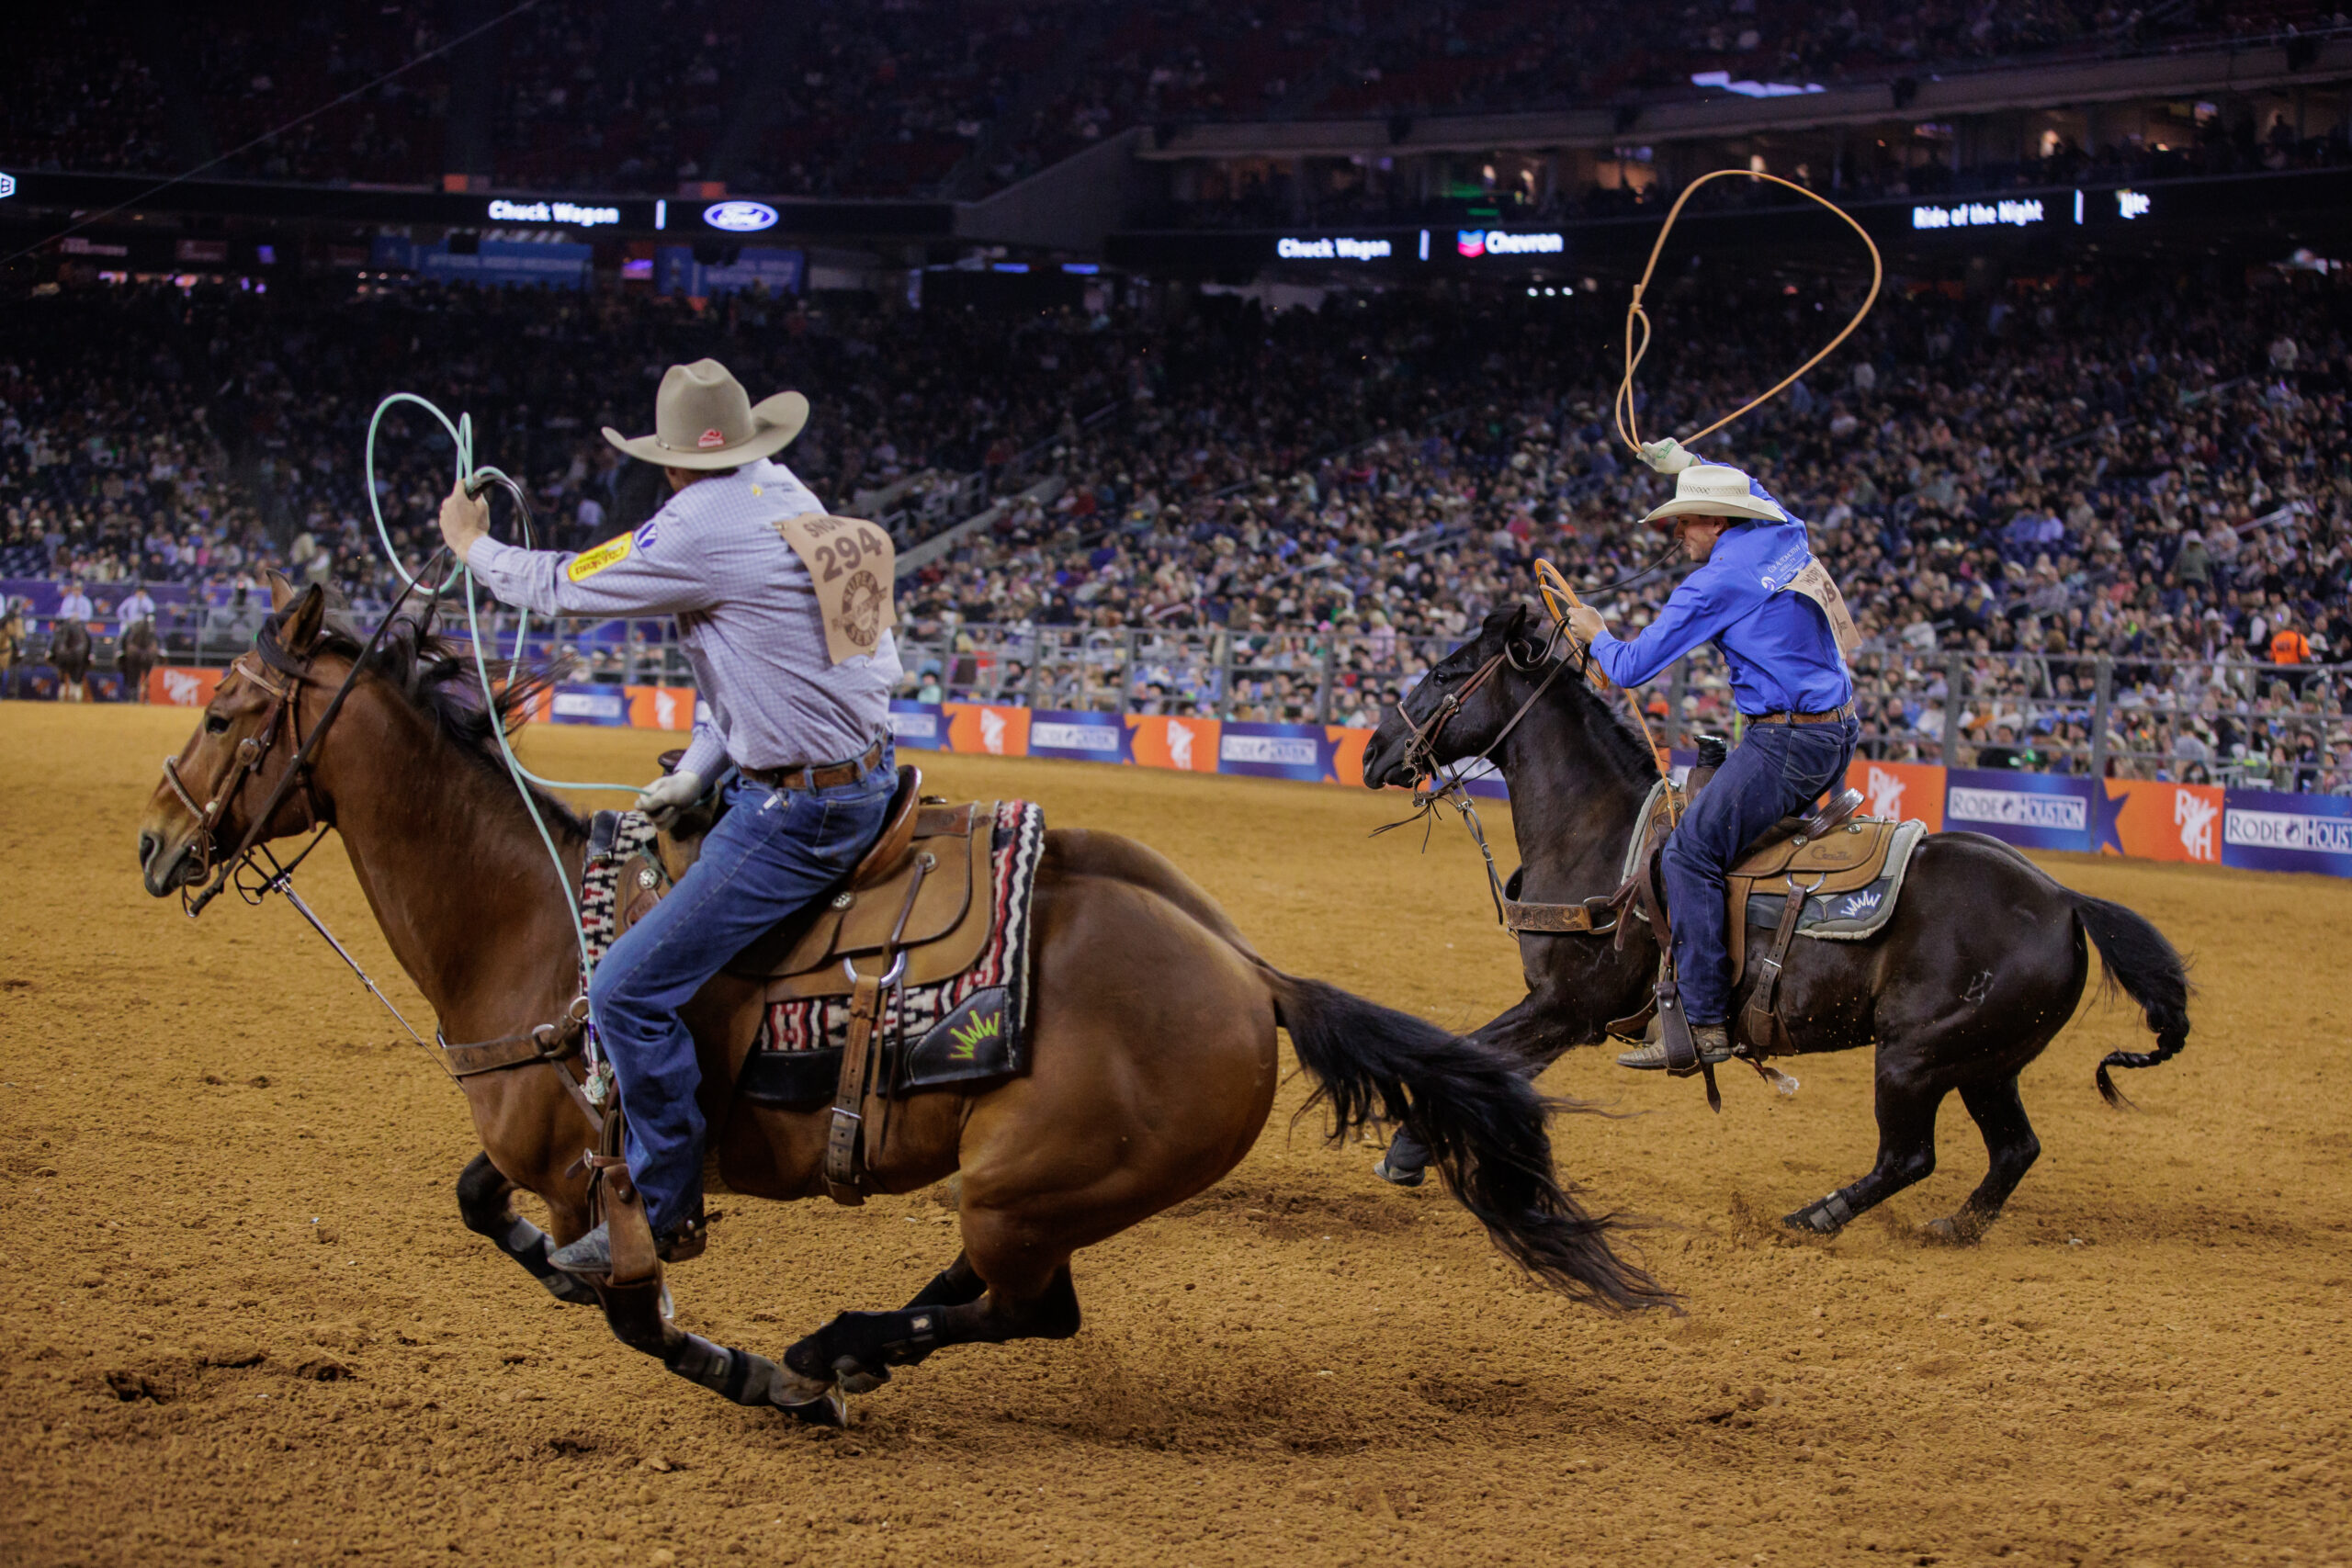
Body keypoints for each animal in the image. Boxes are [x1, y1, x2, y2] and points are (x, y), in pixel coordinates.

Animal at [137, 585, 1674, 1419]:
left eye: (220, 711)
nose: (154, 844)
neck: (535, 914)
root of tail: (1251, 975)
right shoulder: (537, 1141)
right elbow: (482, 1204)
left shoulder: (604, 1161)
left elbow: (630, 1305)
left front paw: (743, 1367)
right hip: (1037, 1191)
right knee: (1000, 1297)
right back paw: (845, 1350)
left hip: (1028, 1180)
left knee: (1021, 1309)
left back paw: (830, 1350)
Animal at [1354, 606, 2191, 1241]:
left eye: (1444, 672)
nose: (1372, 750)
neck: (1600, 833)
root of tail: (2065, 899)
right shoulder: (1562, 1012)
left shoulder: (1567, 1007)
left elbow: (1474, 1055)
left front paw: (1405, 1151)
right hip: (1985, 1061)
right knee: (2015, 1148)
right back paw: (1952, 1227)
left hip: (1917, 1054)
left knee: (1910, 1156)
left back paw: (1815, 1216)